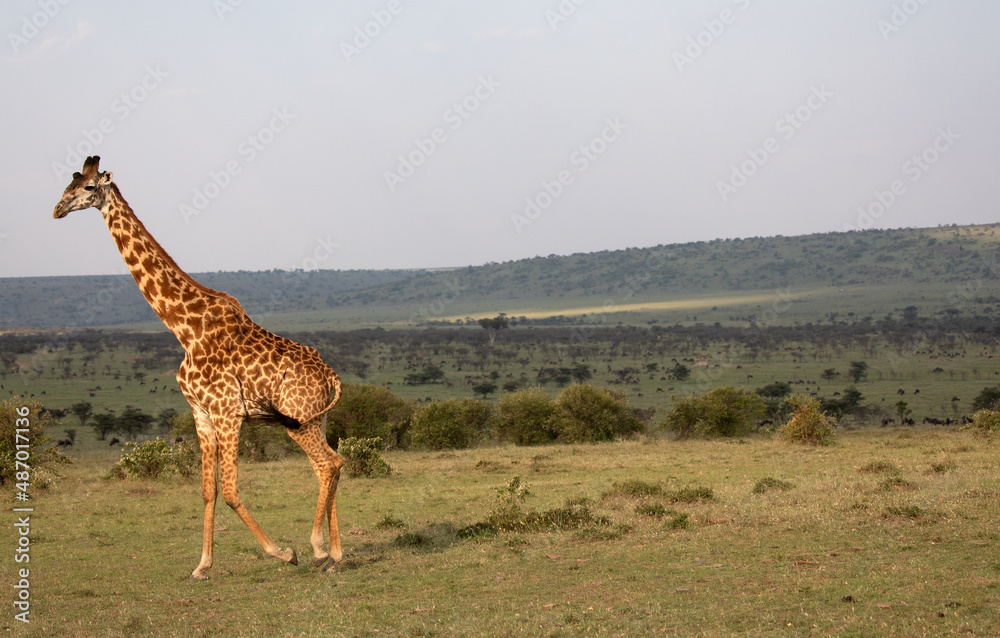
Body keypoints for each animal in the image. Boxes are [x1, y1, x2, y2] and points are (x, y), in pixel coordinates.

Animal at [53, 156, 346, 580]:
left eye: (89, 187)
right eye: (69, 184)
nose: (57, 209)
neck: (183, 328)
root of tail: (330, 374)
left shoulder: (227, 412)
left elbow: (232, 491)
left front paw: (283, 552)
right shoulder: (201, 414)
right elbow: (208, 490)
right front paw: (202, 566)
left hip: (299, 420)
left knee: (326, 465)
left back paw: (319, 549)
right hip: (316, 418)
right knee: (333, 464)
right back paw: (337, 554)